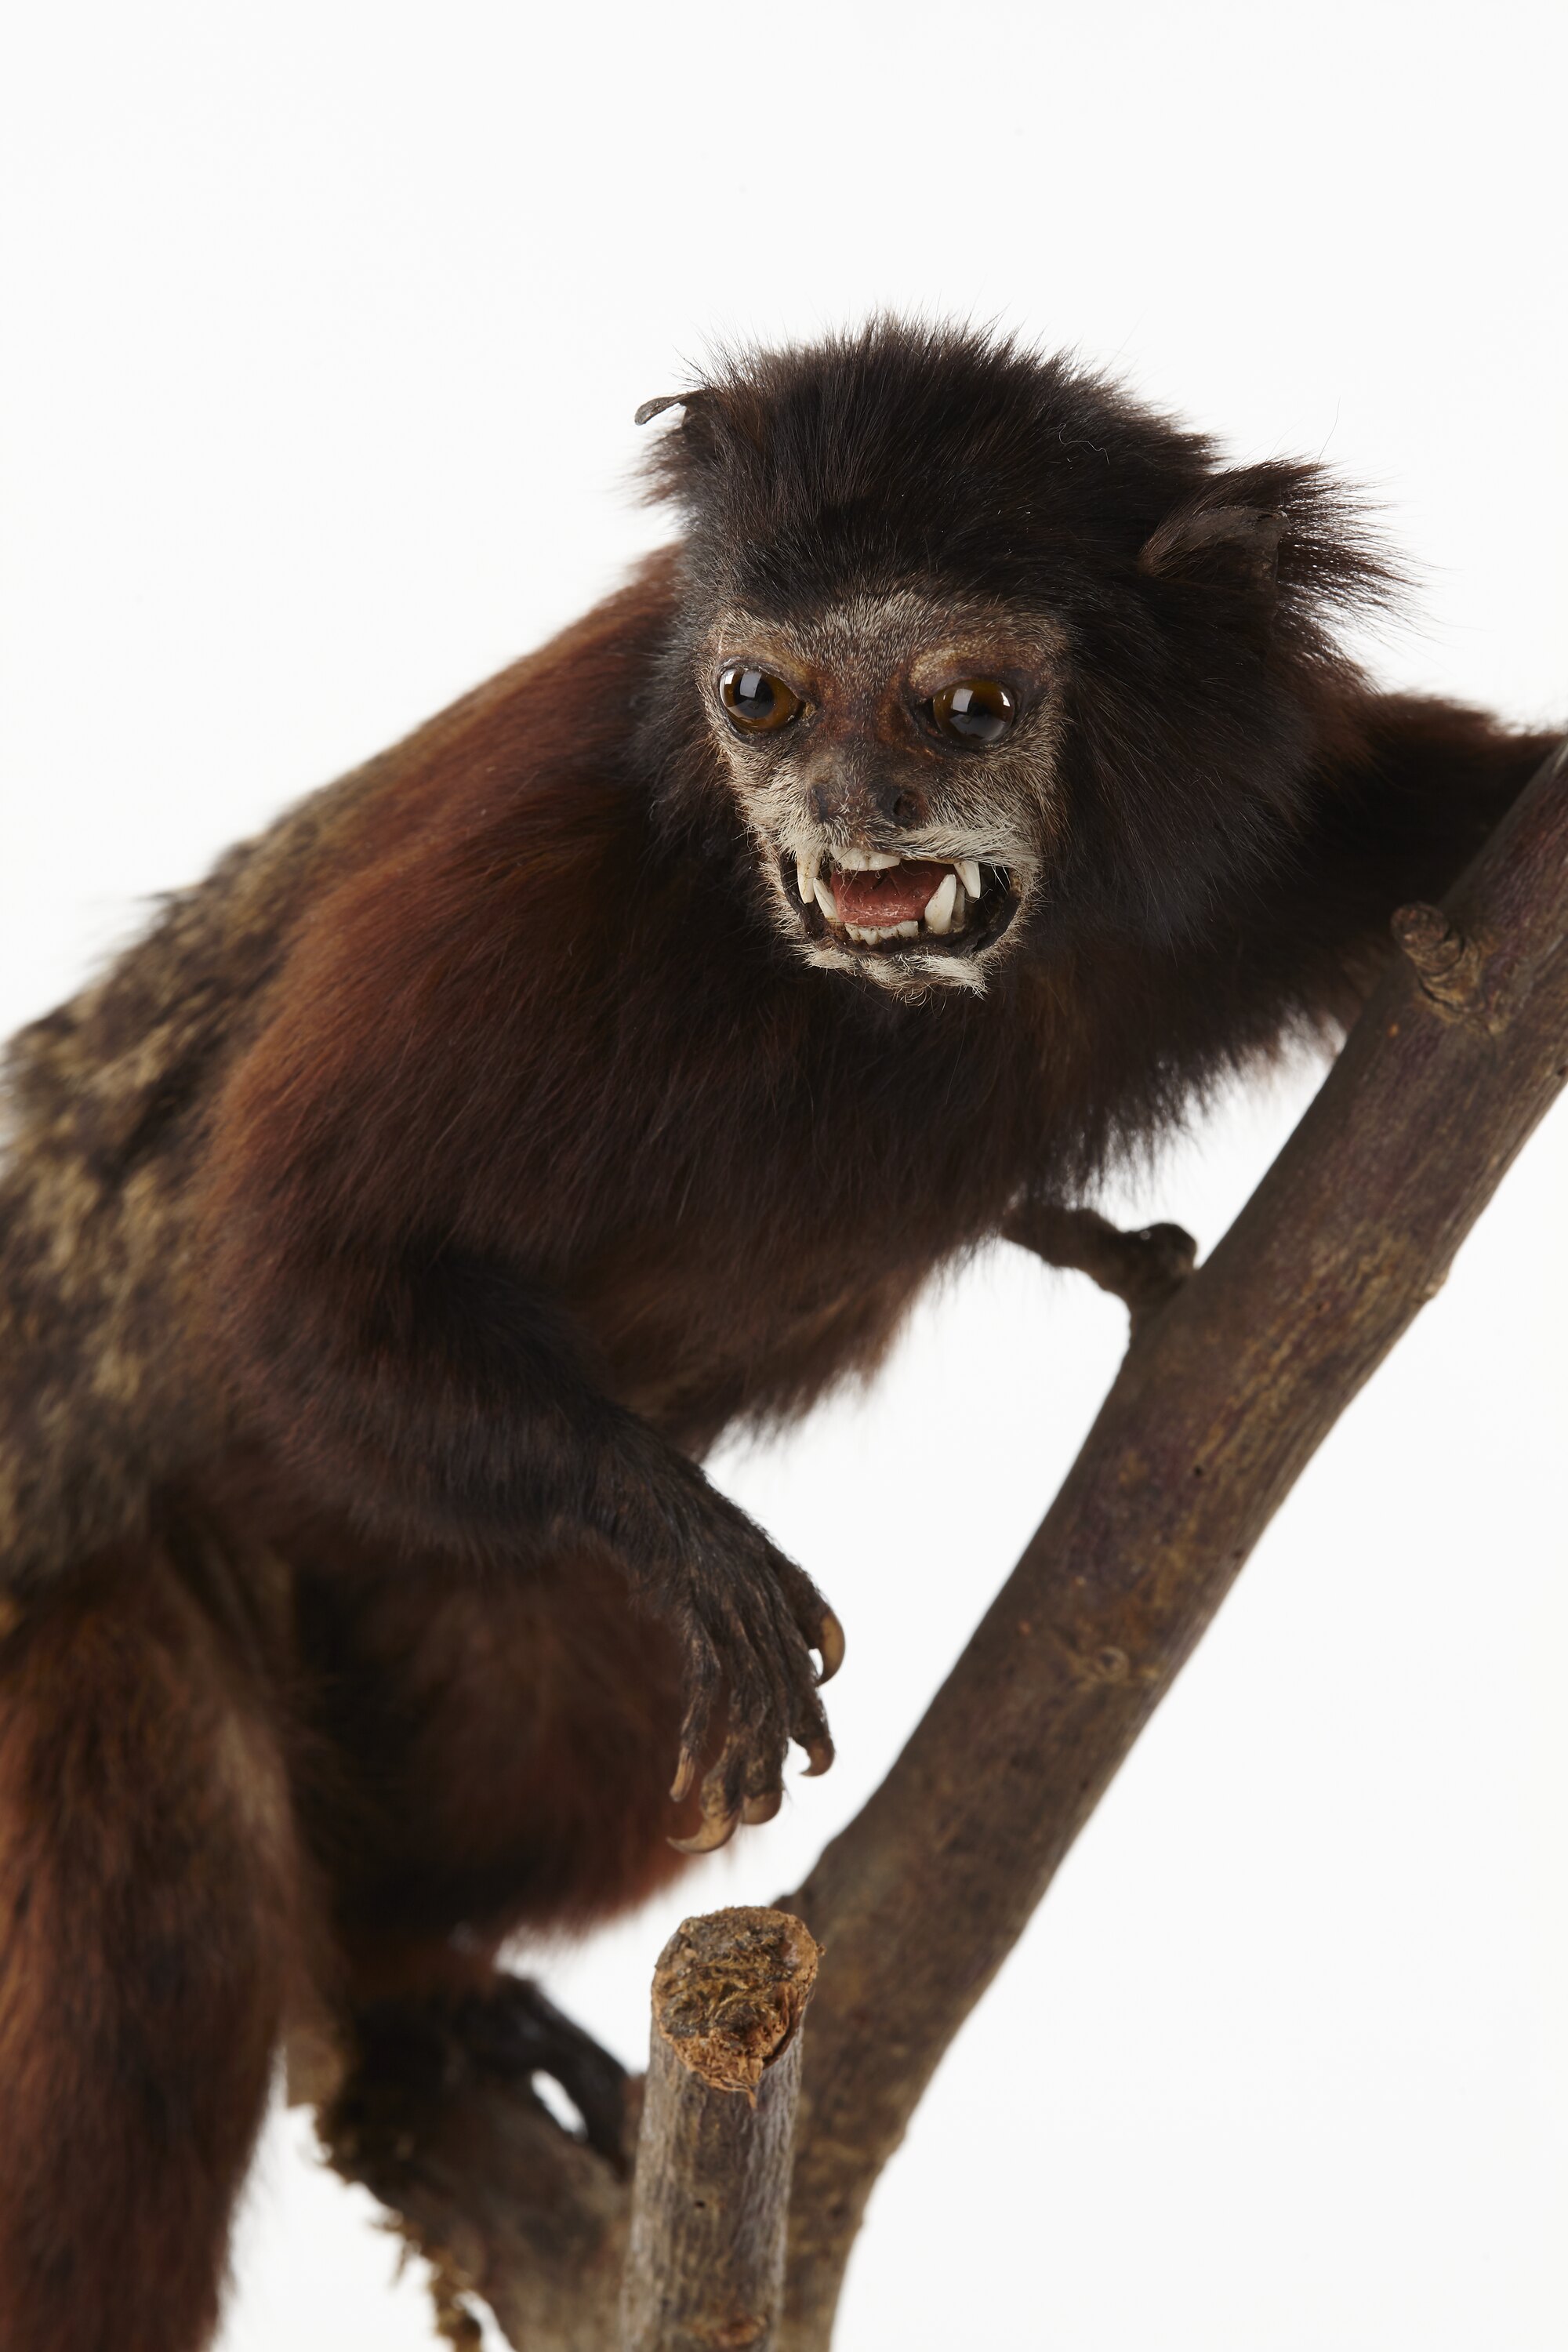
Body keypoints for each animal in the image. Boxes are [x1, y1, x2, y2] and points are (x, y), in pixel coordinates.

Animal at [0, 319, 1556, 2351]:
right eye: (760, 695)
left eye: (966, 705)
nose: (849, 820)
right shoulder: (520, 874)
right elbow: (276, 1278)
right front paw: (678, 1528)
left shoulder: (1270, 814)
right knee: (157, 1954)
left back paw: (419, 1985)